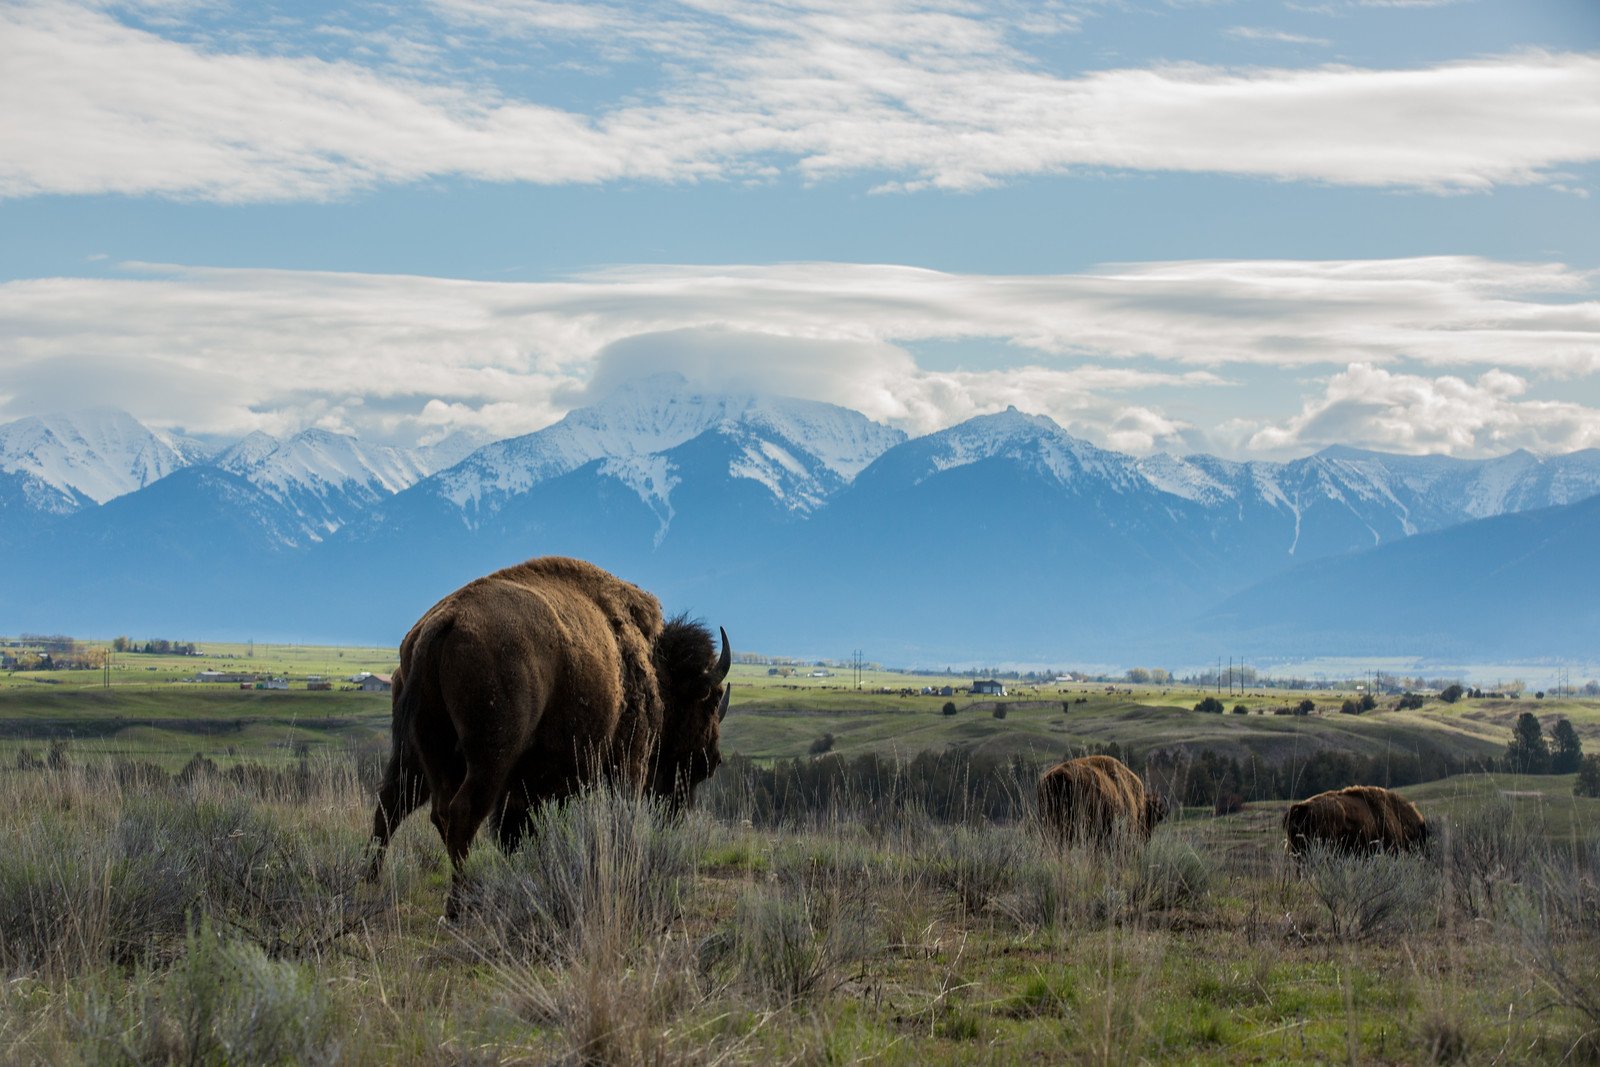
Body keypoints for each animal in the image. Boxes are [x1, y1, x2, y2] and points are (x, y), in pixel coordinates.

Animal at [364, 556, 731, 914]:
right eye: (710, 701)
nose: (711, 760)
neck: (654, 665)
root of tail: (443, 622)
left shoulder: (543, 784)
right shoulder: (626, 761)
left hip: (416, 751)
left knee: (393, 804)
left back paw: (369, 883)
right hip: (490, 756)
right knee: (459, 813)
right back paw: (458, 905)